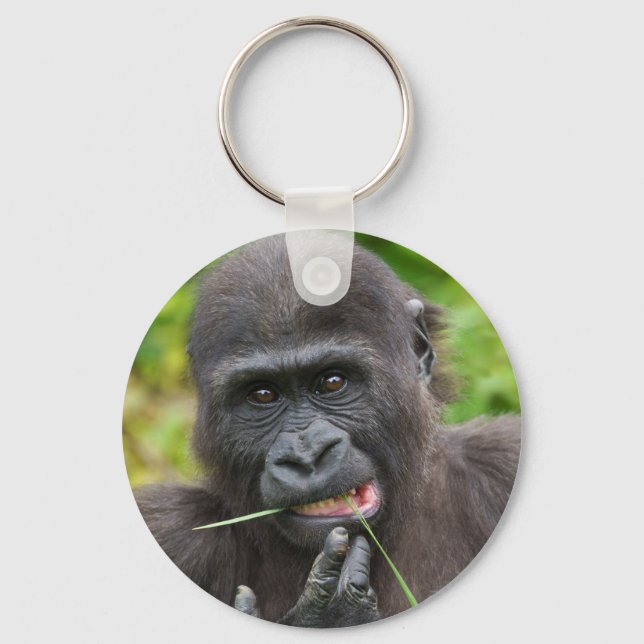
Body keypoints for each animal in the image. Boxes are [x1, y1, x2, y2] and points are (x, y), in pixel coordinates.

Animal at [135, 235, 521, 627]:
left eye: (333, 382)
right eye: (262, 394)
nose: (305, 455)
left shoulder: (504, 458)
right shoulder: (170, 527)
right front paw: (325, 616)